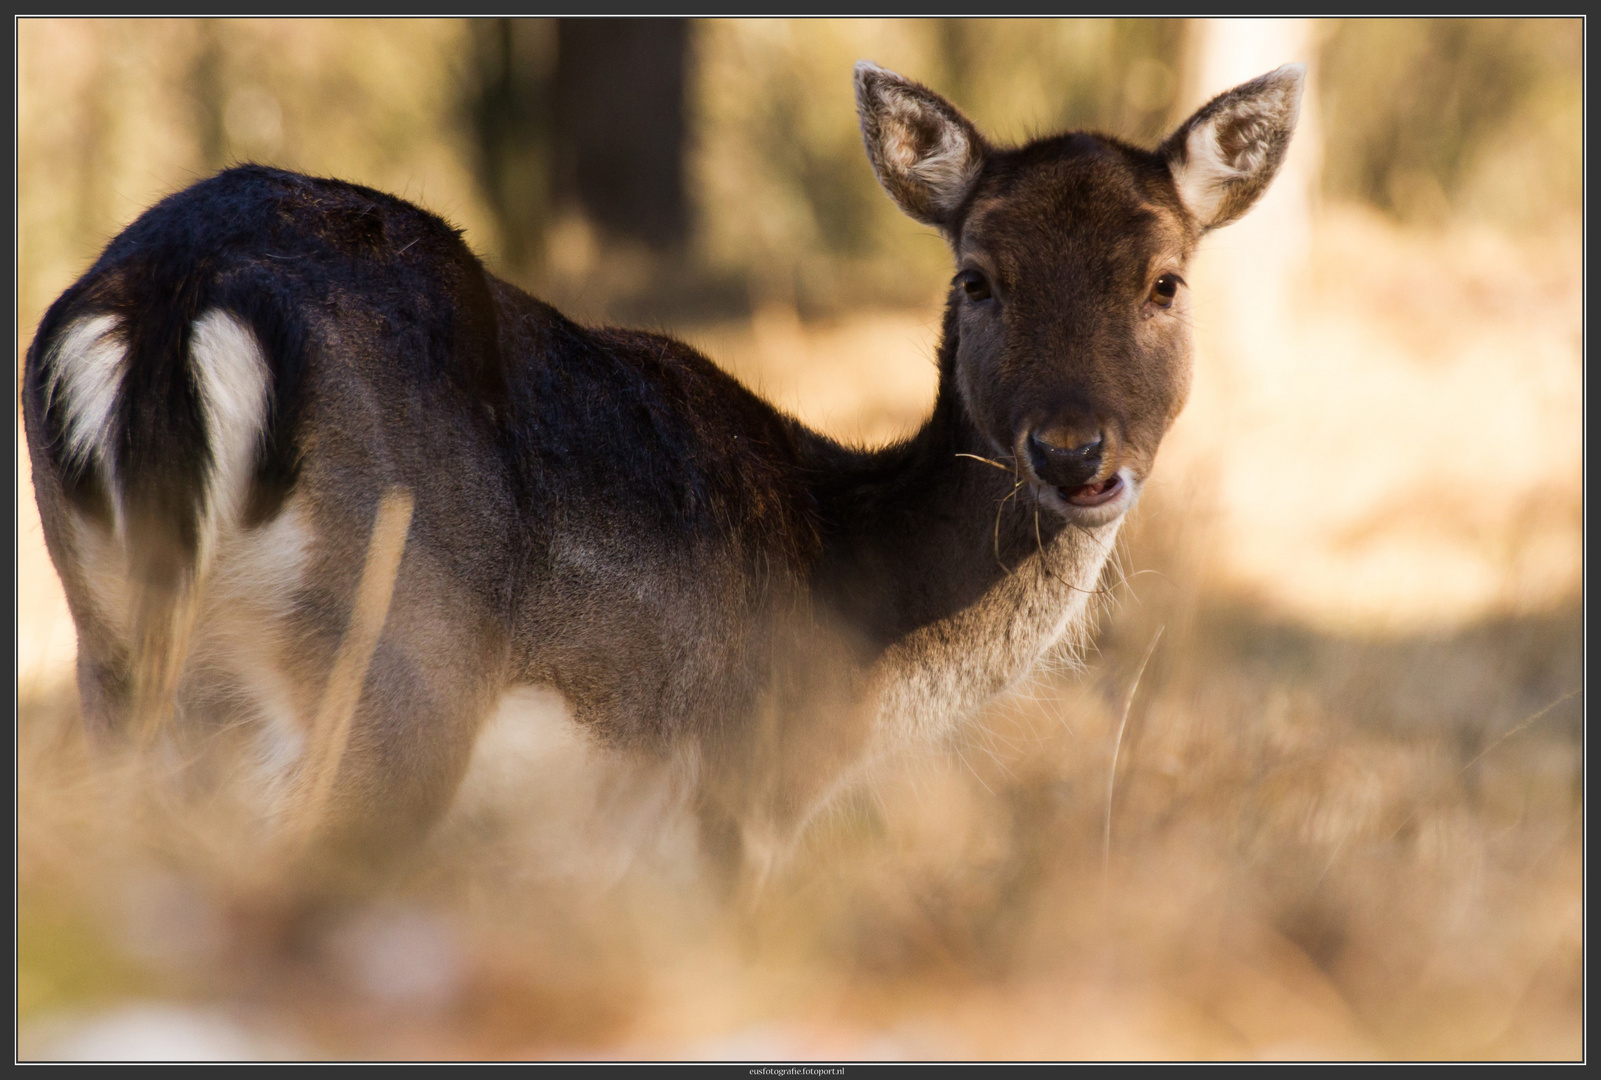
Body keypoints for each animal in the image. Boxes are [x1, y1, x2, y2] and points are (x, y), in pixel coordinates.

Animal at [18, 57, 1306, 889]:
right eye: (977, 275)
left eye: (1163, 279)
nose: (1074, 454)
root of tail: (172, 292)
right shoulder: (739, 791)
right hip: (388, 676)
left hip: (116, 657)